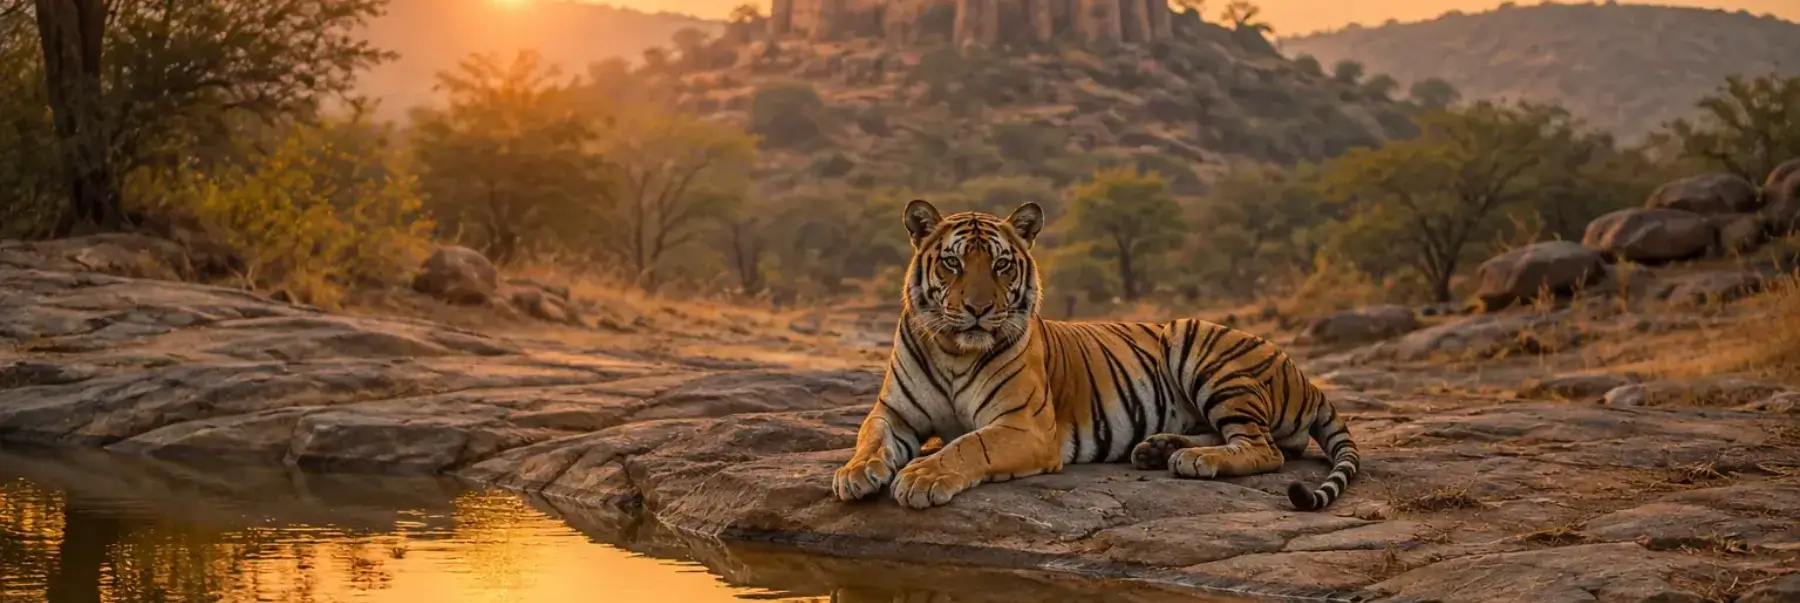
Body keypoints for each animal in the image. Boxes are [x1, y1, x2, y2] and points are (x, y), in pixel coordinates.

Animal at [831, 200, 1361, 511]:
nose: (978, 310)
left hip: (1197, 342)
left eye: (1001, 265)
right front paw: (855, 474)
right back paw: (1158, 448)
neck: (953, 350)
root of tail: (1308, 379)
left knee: (1266, 448)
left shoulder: (1023, 426)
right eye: (952, 263)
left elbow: (968, 445)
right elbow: (870, 438)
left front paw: (922, 476)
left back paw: (1193, 460)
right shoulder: (894, 412)